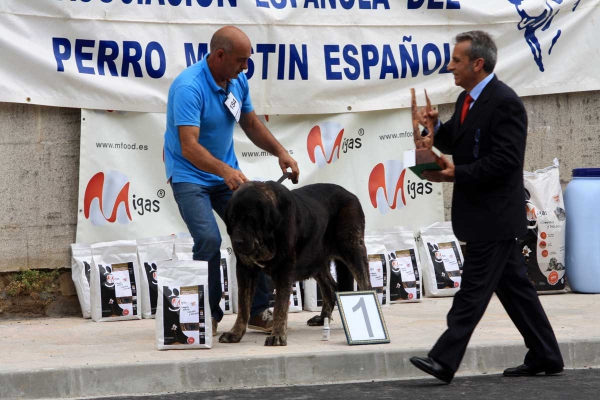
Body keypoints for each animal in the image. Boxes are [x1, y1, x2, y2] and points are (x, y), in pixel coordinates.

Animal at [220, 182, 370, 346]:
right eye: (232, 219)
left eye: (251, 218)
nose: (237, 242)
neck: (268, 237)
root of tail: (350, 194)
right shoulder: (245, 270)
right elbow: (243, 305)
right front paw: (235, 333)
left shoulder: (284, 269)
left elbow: (280, 306)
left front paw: (277, 335)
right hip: (314, 261)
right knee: (330, 287)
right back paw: (322, 318)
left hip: (353, 250)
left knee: (366, 285)